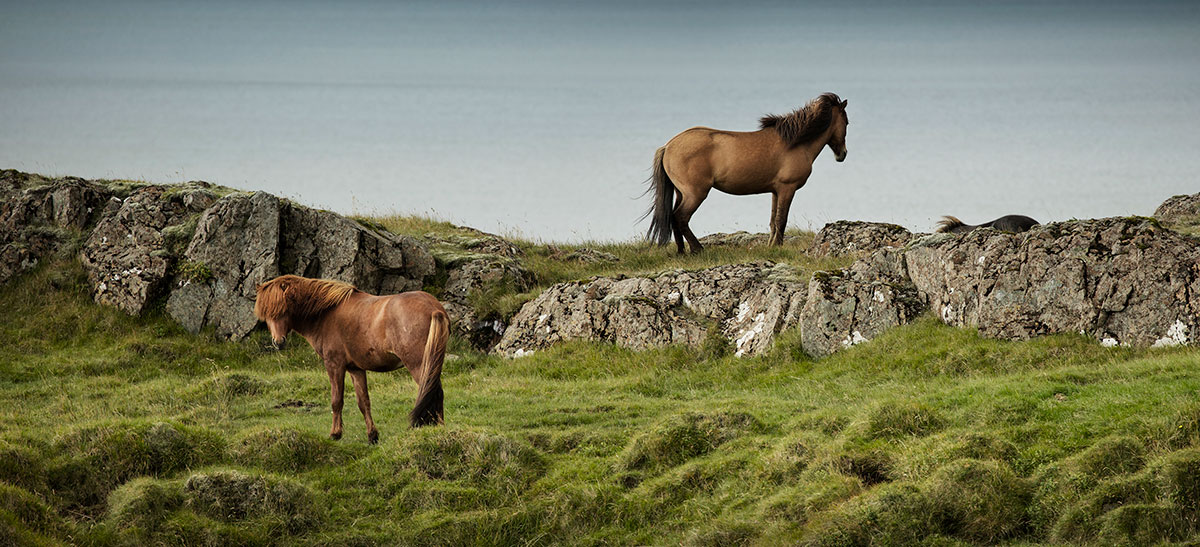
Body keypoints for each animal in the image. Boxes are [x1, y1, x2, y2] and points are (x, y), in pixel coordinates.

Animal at [253, 275, 446, 441]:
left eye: (283, 310)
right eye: (266, 315)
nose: (278, 342)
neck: (326, 313)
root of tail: (434, 308)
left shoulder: (334, 365)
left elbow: (336, 401)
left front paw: (335, 434)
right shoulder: (356, 369)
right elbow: (363, 402)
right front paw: (372, 436)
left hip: (418, 365)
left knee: (432, 392)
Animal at [643, 92, 849, 254]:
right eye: (846, 122)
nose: (843, 154)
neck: (796, 143)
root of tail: (668, 146)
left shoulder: (775, 191)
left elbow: (773, 221)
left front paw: (771, 246)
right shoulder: (787, 189)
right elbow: (782, 219)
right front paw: (778, 247)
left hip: (681, 193)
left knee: (673, 217)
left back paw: (681, 251)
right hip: (695, 194)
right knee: (681, 217)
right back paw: (697, 249)